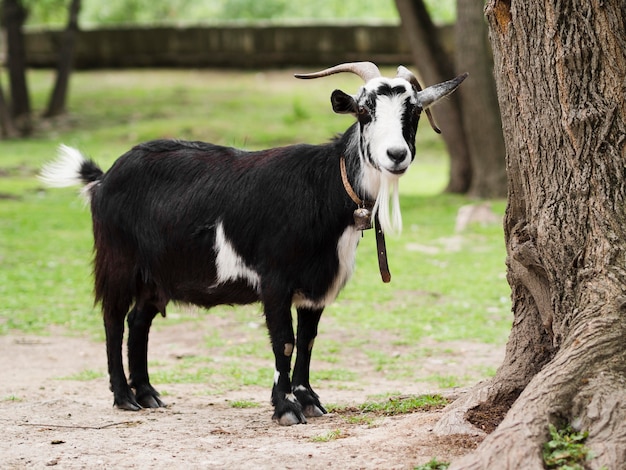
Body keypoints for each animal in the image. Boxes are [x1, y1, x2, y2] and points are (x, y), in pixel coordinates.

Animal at [40, 60, 464, 424]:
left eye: (413, 112)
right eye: (364, 110)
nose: (396, 155)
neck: (324, 187)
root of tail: (102, 178)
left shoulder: (314, 287)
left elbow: (308, 341)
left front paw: (308, 400)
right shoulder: (274, 279)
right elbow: (285, 342)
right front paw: (285, 408)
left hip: (157, 275)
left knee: (138, 321)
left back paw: (147, 393)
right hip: (118, 259)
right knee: (113, 319)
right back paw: (124, 397)